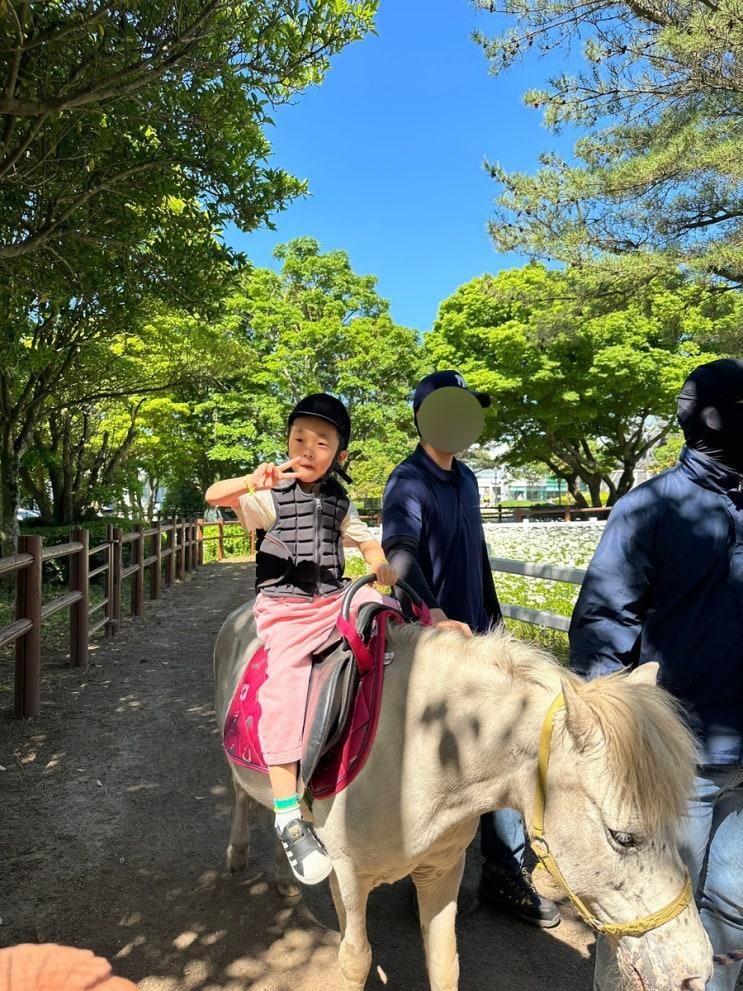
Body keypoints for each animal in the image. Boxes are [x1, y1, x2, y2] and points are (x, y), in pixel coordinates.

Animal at [214, 604, 708, 991]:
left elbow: (444, 963)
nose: (694, 974)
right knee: (242, 794)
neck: (422, 748)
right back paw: (239, 853)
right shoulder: (348, 877)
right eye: (622, 836)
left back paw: (284, 875)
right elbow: (355, 961)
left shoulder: (441, 870)